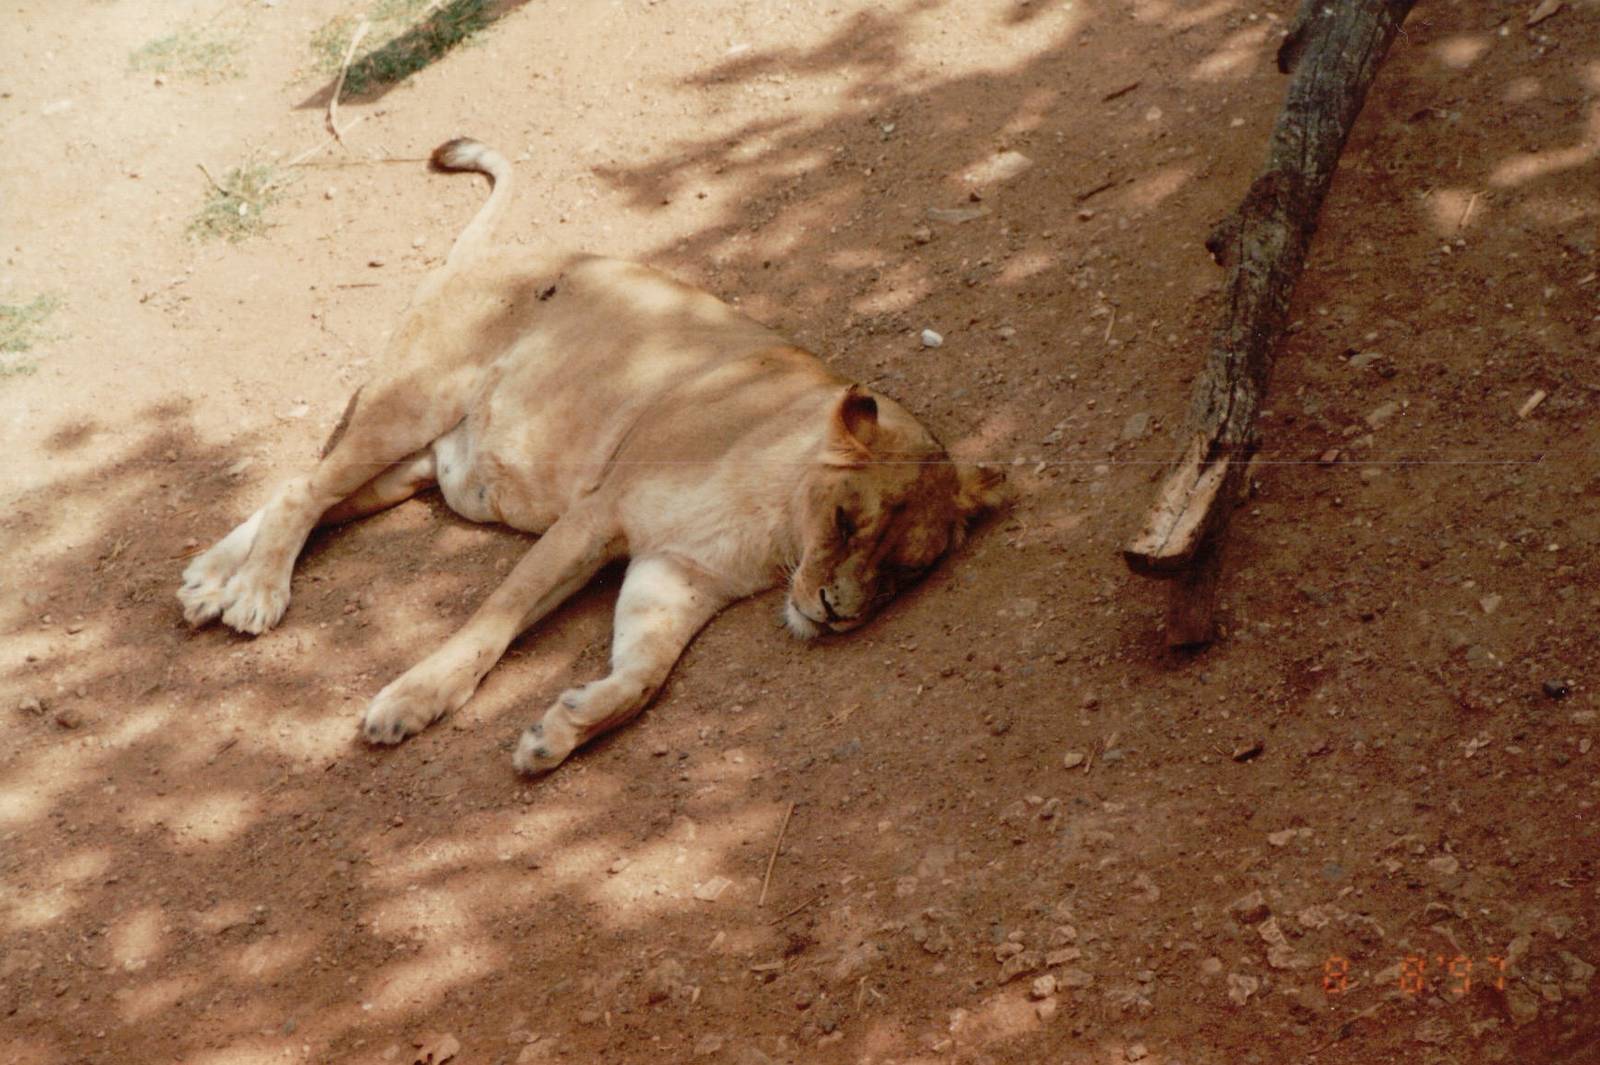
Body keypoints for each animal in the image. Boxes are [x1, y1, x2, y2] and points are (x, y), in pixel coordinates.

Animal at [179, 137, 1004, 774]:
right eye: (845, 522)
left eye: (904, 570)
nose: (836, 614)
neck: (777, 524)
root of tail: (494, 253)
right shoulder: (597, 515)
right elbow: (493, 618)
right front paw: (412, 701)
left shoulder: (677, 571)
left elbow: (643, 674)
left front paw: (560, 729)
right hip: (412, 401)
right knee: (303, 491)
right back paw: (253, 594)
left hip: (411, 469)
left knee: (304, 488)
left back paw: (209, 580)